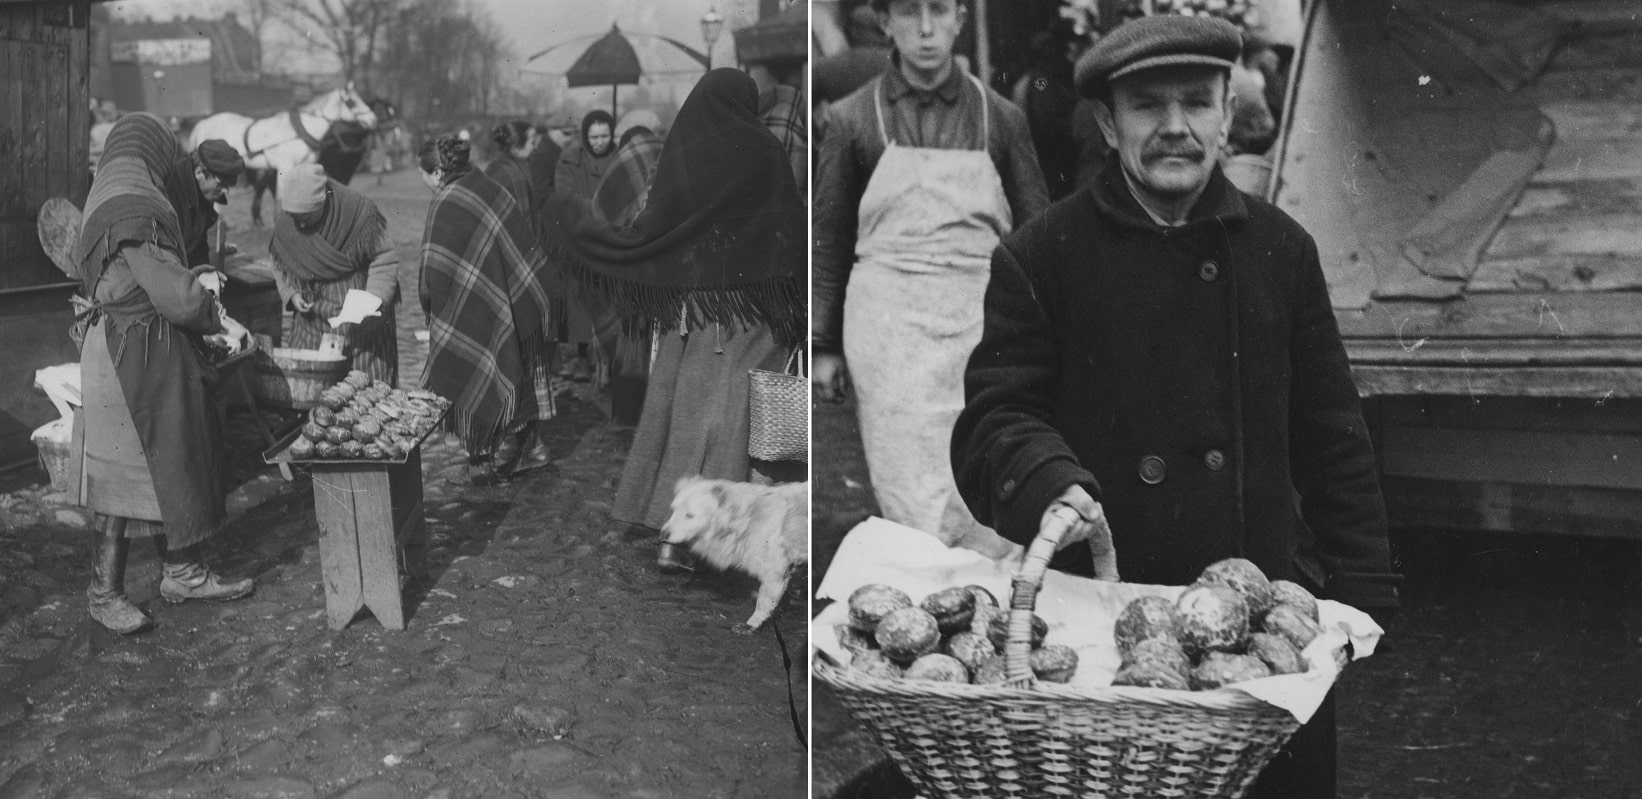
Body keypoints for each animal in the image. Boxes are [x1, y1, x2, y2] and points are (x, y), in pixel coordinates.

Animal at [656, 479, 804, 633]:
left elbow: (763, 602)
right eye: (673, 510)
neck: (748, 516)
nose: (663, 535)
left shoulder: (775, 572)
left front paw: (752, 625)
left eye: (690, 515)